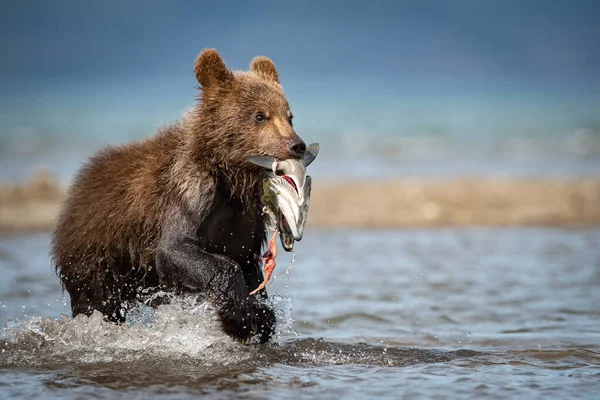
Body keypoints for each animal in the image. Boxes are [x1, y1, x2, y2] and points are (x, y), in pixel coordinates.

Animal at [49, 48, 308, 344]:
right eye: (260, 116)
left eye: (289, 116)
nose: (297, 145)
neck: (232, 173)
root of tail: (75, 191)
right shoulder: (191, 189)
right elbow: (176, 247)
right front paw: (239, 318)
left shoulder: (247, 217)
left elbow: (249, 265)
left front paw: (261, 315)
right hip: (95, 256)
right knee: (96, 304)